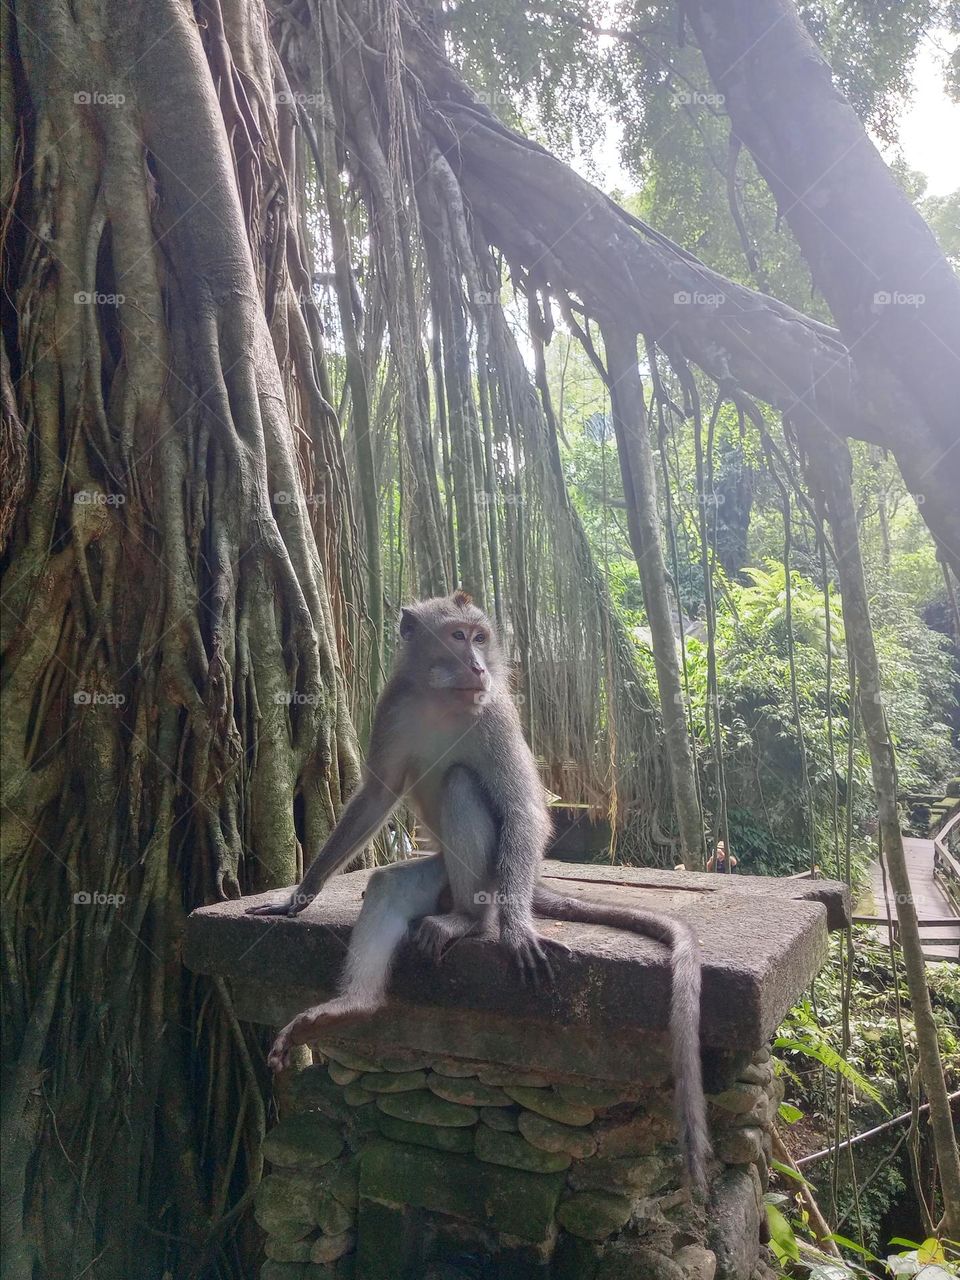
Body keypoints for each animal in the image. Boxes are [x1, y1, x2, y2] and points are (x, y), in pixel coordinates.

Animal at [248, 591, 710, 1190]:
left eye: (480, 637)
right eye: (457, 636)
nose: (478, 666)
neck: (443, 697)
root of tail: (530, 881)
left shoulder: (497, 714)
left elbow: (523, 809)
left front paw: (515, 930)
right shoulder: (392, 705)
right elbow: (375, 796)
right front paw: (300, 894)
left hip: (495, 875)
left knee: (463, 786)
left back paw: (473, 921)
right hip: (439, 875)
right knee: (388, 887)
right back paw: (351, 1006)